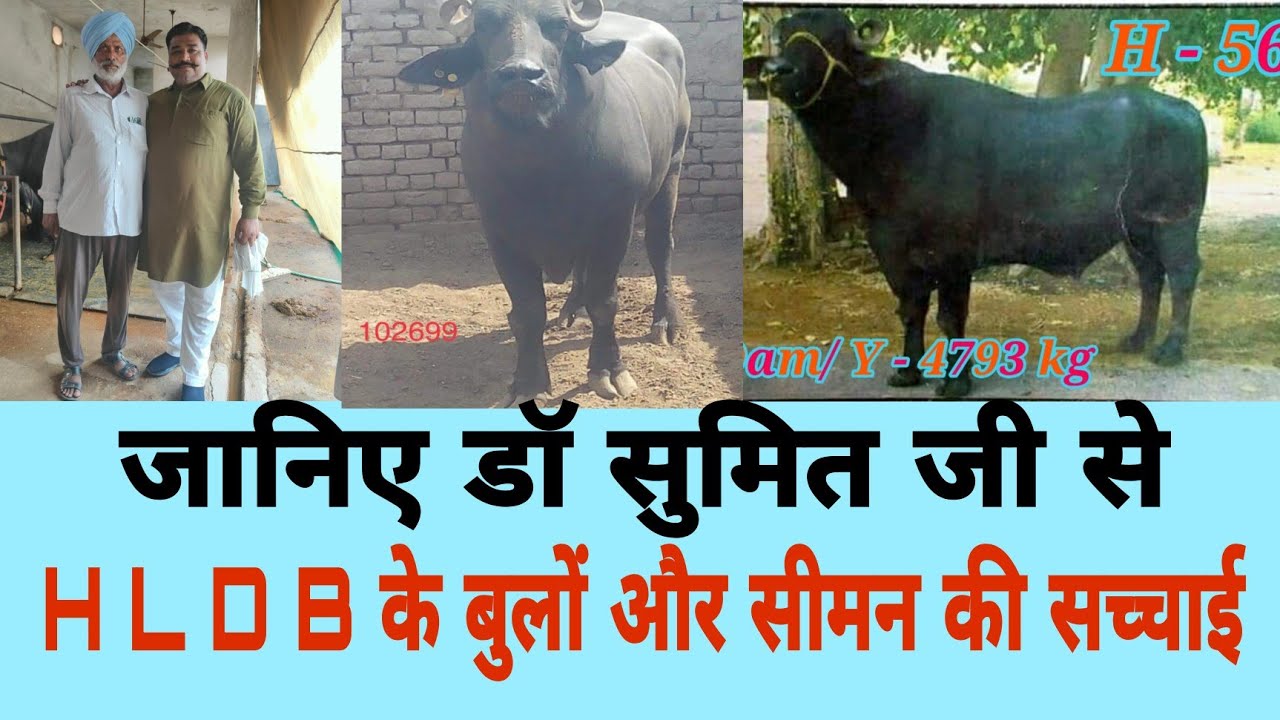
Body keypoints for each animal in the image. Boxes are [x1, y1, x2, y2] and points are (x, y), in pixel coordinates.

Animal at [399, 0, 691, 406]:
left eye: (558, 27)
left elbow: (605, 301)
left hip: (672, 167)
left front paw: (608, 370)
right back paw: (569, 310)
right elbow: (527, 311)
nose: (521, 75)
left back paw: (664, 322)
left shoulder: (615, 220)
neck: (541, 165)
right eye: (484, 26)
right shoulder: (498, 230)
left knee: (660, 246)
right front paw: (528, 382)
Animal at [744, 10, 1208, 397]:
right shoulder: (891, 249)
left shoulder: (953, 255)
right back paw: (1138, 338)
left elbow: (950, 317)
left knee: (1182, 274)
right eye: (783, 37)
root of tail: (1185, 110)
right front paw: (907, 372)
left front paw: (955, 382)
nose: (777, 70)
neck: (895, 132)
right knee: (1150, 277)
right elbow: (910, 309)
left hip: (1174, 221)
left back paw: (1170, 348)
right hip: (1136, 230)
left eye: (833, 40)